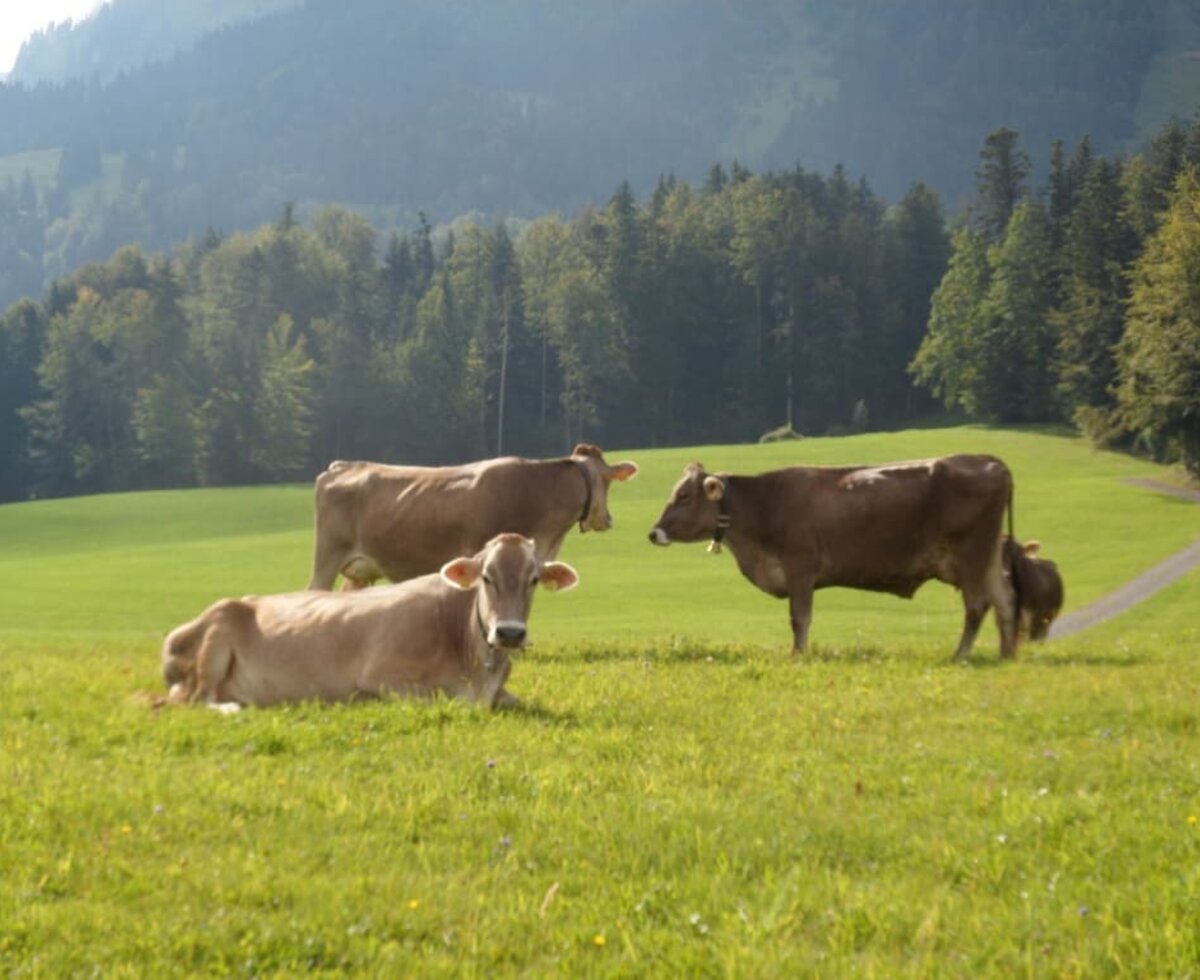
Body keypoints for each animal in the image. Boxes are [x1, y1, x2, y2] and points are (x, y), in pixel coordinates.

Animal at [162, 534, 578, 710]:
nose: (509, 632)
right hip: (216, 638)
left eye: (534, 579)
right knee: (198, 700)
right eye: (487, 577)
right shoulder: (382, 677)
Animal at [652, 453, 1017, 657]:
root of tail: (987, 460)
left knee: (977, 605)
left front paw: (798, 655)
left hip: (972, 555)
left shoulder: (800, 569)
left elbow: (799, 618)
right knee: (1004, 600)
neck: (764, 504)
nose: (653, 532)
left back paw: (961, 654)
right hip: (987, 559)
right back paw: (1007, 654)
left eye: (684, 496)